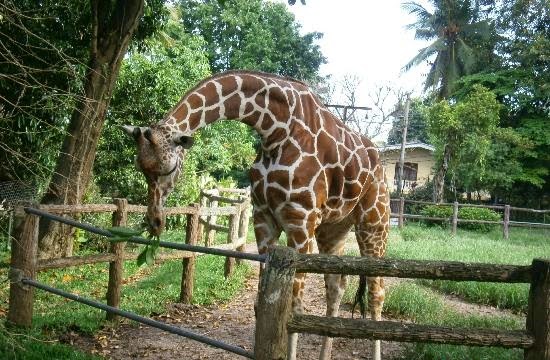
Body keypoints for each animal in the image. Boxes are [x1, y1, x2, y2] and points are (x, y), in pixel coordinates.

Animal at [124, 70, 392, 360]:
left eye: (169, 168)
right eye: (141, 169)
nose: (155, 221)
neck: (275, 130)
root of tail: (380, 165)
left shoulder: (301, 221)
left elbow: (294, 308)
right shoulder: (264, 218)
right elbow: (261, 304)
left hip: (374, 222)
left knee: (377, 292)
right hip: (334, 229)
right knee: (337, 286)